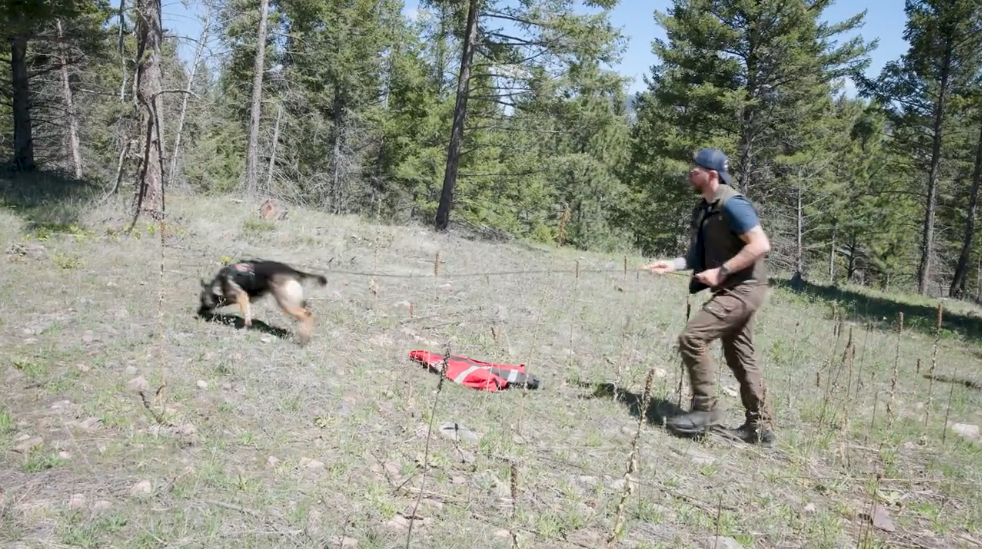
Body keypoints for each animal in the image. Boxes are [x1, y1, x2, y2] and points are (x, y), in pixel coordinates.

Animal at [197, 259, 327, 344]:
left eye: (203, 301)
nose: (198, 313)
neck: (219, 283)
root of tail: (293, 271)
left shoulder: (242, 296)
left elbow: (246, 314)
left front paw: (246, 326)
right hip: (293, 300)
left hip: (286, 302)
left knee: (307, 315)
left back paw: (304, 339)